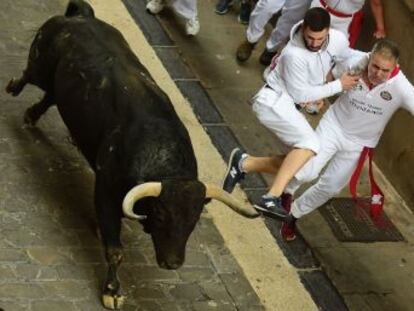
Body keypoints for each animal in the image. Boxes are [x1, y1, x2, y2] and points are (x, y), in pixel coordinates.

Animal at [6, 0, 258, 310]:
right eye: (161, 215)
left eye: (195, 219)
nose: (173, 263)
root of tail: (81, 17)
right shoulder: (105, 188)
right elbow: (115, 249)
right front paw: (112, 290)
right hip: (40, 65)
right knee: (29, 76)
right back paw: (13, 87)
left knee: (51, 96)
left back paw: (31, 115)